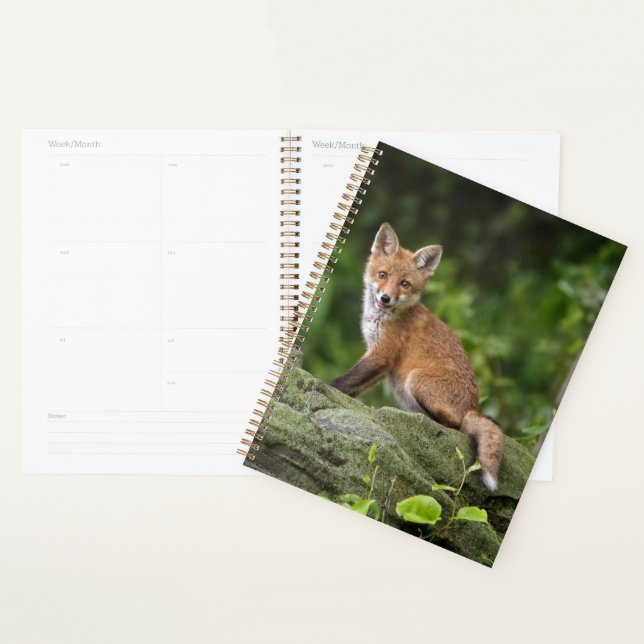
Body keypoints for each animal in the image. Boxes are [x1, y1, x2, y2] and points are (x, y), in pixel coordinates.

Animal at [330, 222, 504, 490]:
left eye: (404, 283)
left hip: (414, 380)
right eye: (383, 275)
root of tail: (473, 407)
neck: (385, 317)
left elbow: (343, 380)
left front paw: (327, 388)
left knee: (455, 428)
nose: (385, 298)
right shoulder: (382, 364)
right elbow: (353, 386)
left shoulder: (381, 354)